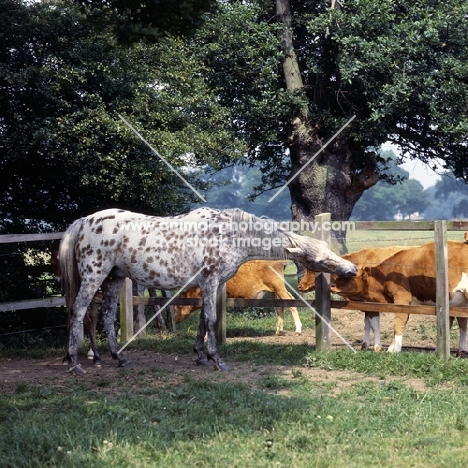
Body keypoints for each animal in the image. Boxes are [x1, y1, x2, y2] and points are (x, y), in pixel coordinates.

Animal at [174, 262, 302, 334]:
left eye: (177, 306)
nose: (174, 320)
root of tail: (280, 262)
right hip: (275, 291)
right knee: (280, 306)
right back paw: (278, 331)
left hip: (279, 288)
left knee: (291, 302)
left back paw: (298, 329)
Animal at [332, 241, 468, 352]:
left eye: (351, 275)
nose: (332, 285)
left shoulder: (401, 298)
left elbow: (396, 323)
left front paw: (391, 349)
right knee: (460, 322)